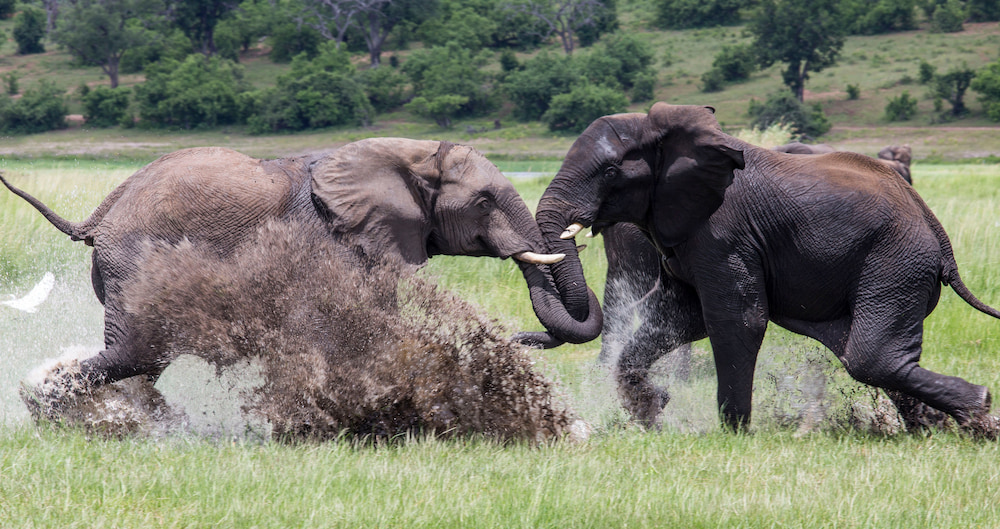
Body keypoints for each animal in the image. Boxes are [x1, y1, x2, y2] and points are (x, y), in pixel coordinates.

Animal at [3, 138, 602, 408]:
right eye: (482, 202)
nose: (515, 337)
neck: (406, 153)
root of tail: (100, 214)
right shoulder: (336, 243)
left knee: (144, 357)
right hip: (137, 264)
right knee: (139, 349)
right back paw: (53, 400)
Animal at [534, 102, 999, 431]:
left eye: (611, 170)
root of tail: (937, 233)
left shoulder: (723, 234)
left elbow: (736, 319)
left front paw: (733, 433)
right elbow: (681, 317)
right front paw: (650, 412)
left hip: (894, 262)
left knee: (872, 358)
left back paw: (979, 412)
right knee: (872, 356)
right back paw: (935, 428)